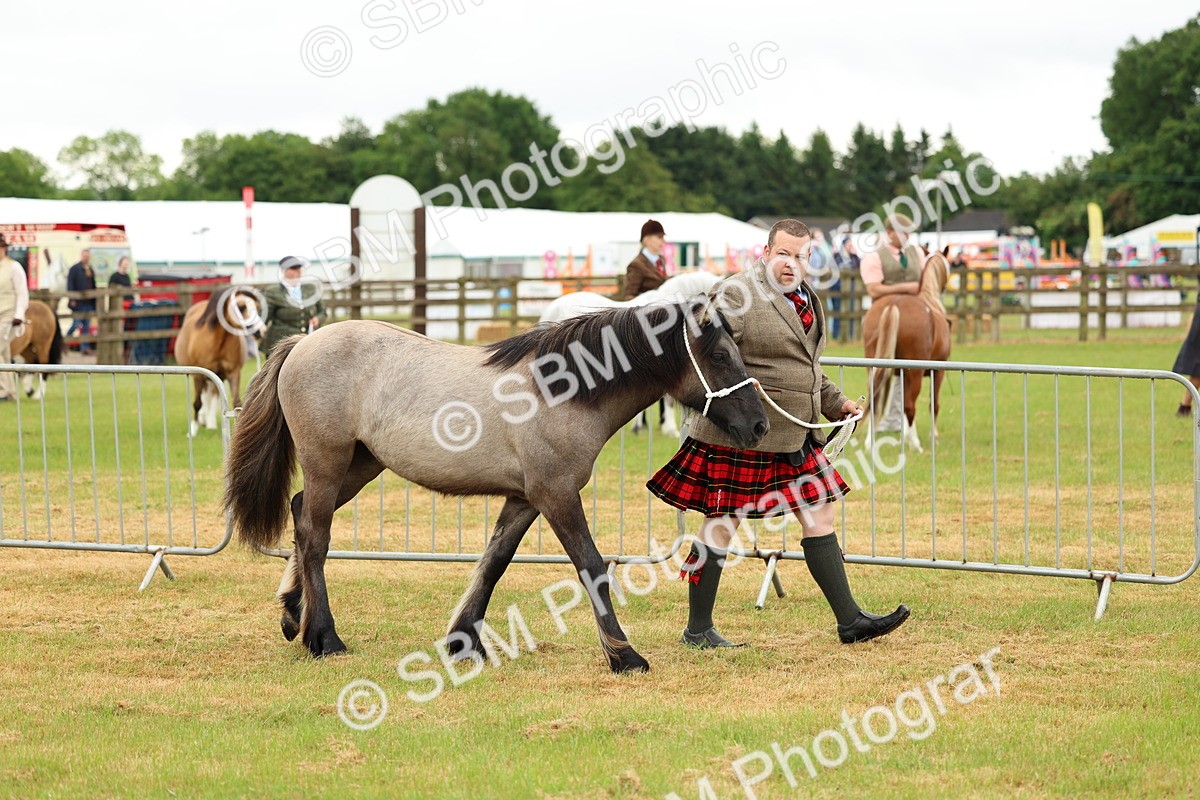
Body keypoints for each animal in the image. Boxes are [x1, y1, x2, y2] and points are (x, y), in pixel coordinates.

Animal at [175, 287, 263, 437]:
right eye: (241, 307)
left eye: (257, 307)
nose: (260, 331)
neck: (217, 340)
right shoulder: (198, 374)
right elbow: (197, 403)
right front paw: (193, 430)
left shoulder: (233, 374)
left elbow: (236, 402)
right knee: (204, 397)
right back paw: (203, 420)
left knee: (213, 395)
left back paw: (210, 422)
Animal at [223, 300, 769, 672]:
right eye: (722, 356)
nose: (761, 425)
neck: (562, 391)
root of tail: (302, 344)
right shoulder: (556, 495)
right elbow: (591, 567)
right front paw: (624, 654)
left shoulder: (524, 500)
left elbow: (493, 563)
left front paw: (464, 641)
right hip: (328, 462)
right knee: (315, 536)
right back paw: (324, 638)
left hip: (360, 466)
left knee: (300, 515)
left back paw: (292, 614)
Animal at [862, 247, 951, 453]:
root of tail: (893, 304)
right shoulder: (938, 372)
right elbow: (934, 404)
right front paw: (932, 437)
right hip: (915, 373)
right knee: (910, 405)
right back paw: (916, 445)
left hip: (874, 368)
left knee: (875, 401)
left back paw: (870, 443)